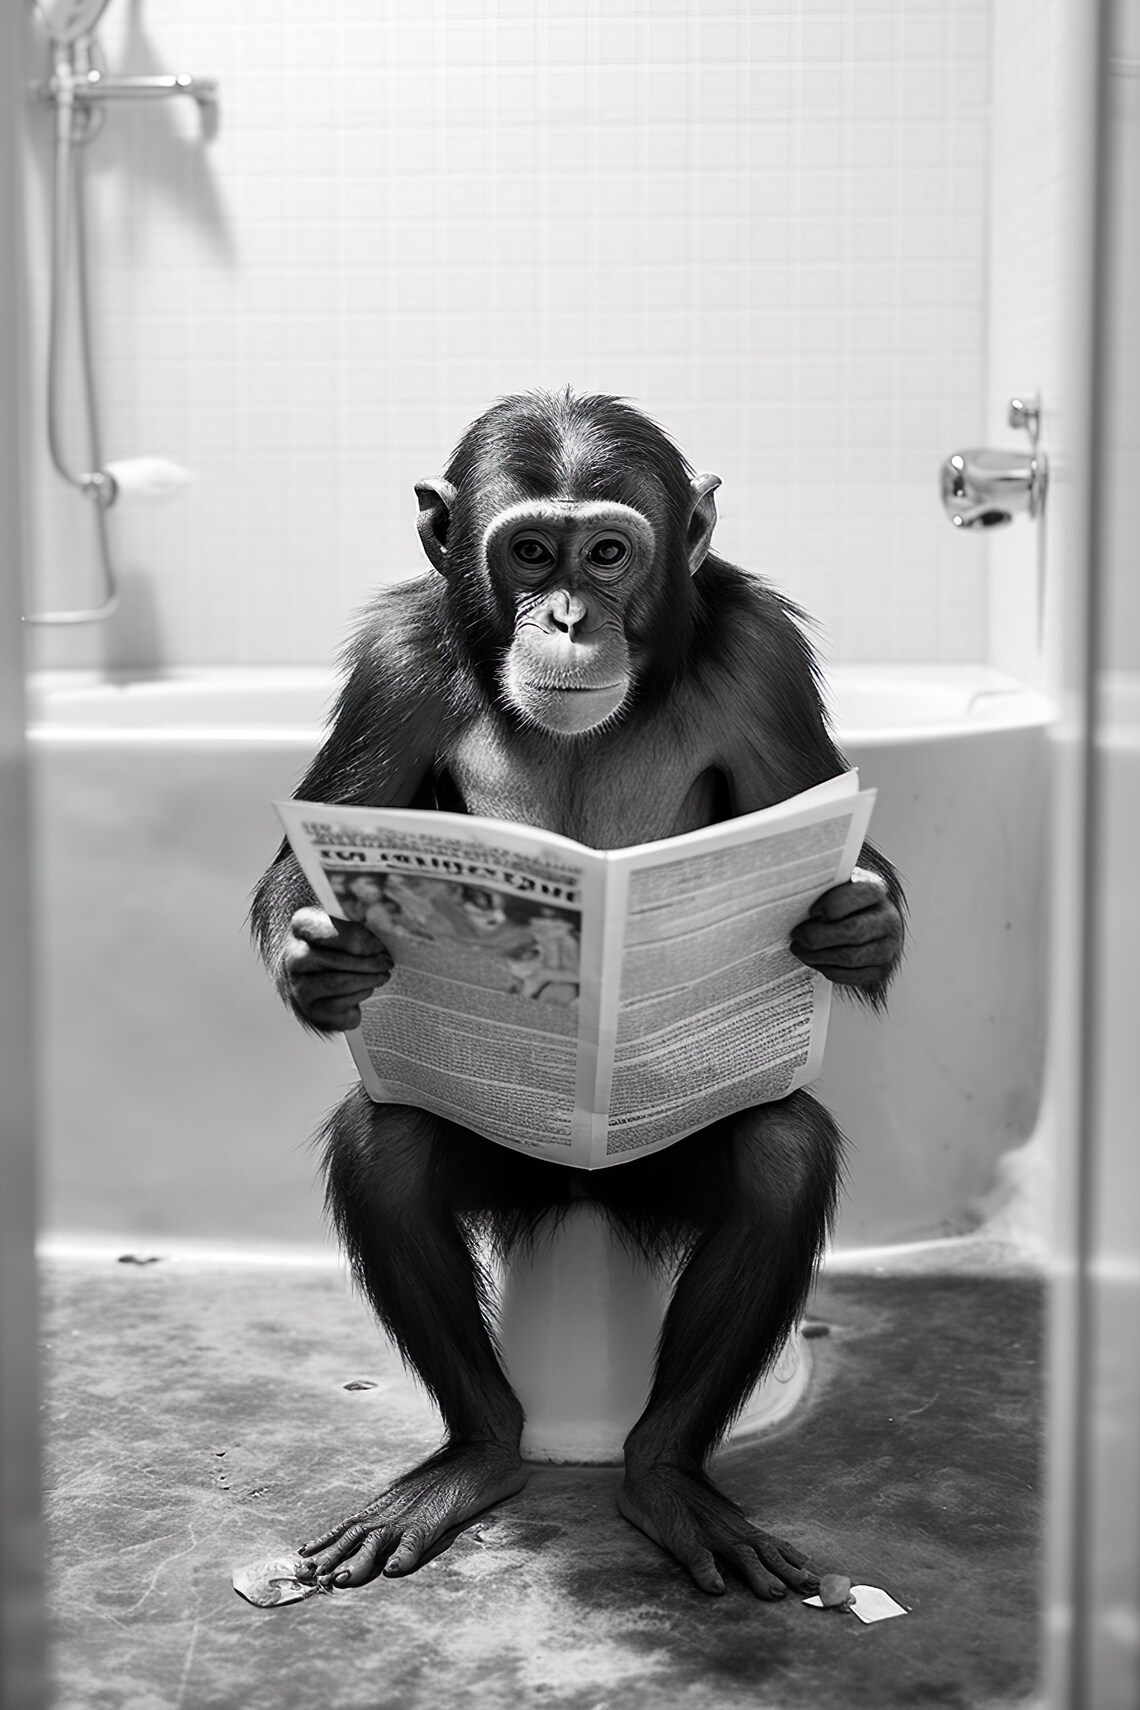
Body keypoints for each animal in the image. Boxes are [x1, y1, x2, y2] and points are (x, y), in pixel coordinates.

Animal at [250, 389, 905, 1602]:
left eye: (607, 552)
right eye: (529, 552)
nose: (564, 615)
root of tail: (580, 1194)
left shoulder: (763, 658)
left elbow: (814, 809)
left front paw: (858, 920)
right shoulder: (392, 666)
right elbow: (310, 846)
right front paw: (325, 953)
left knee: (779, 1151)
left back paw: (667, 1477)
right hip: (508, 1164)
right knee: (387, 1147)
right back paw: (475, 1456)